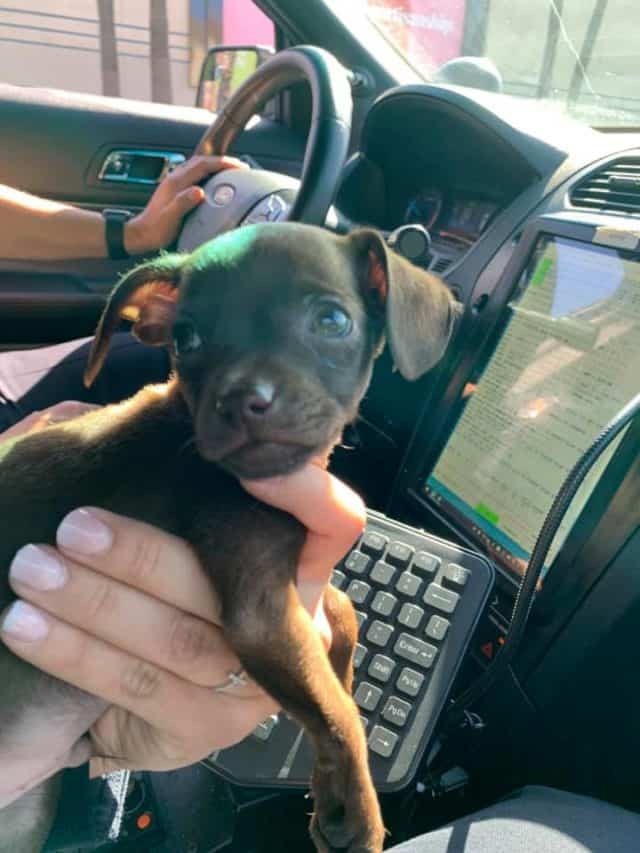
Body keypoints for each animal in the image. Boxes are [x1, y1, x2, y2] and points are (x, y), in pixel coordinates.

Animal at [0, 223, 460, 848]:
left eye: (332, 321)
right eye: (186, 337)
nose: (242, 400)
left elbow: (344, 616)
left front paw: (335, 757)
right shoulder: (261, 616)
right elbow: (339, 711)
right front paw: (357, 808)